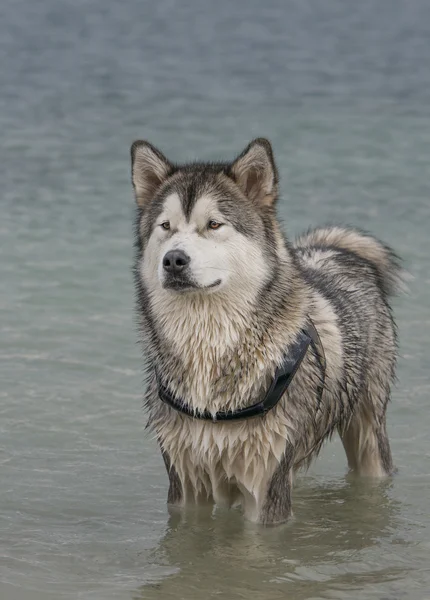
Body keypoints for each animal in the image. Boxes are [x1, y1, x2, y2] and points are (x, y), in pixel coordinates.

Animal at [130, 138, 404, 524]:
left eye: (214, 224)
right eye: (165, 226)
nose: (173, 260)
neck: (209, 349)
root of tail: (334, 250)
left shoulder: (266, 480)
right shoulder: (184, 479)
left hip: (368, 429)